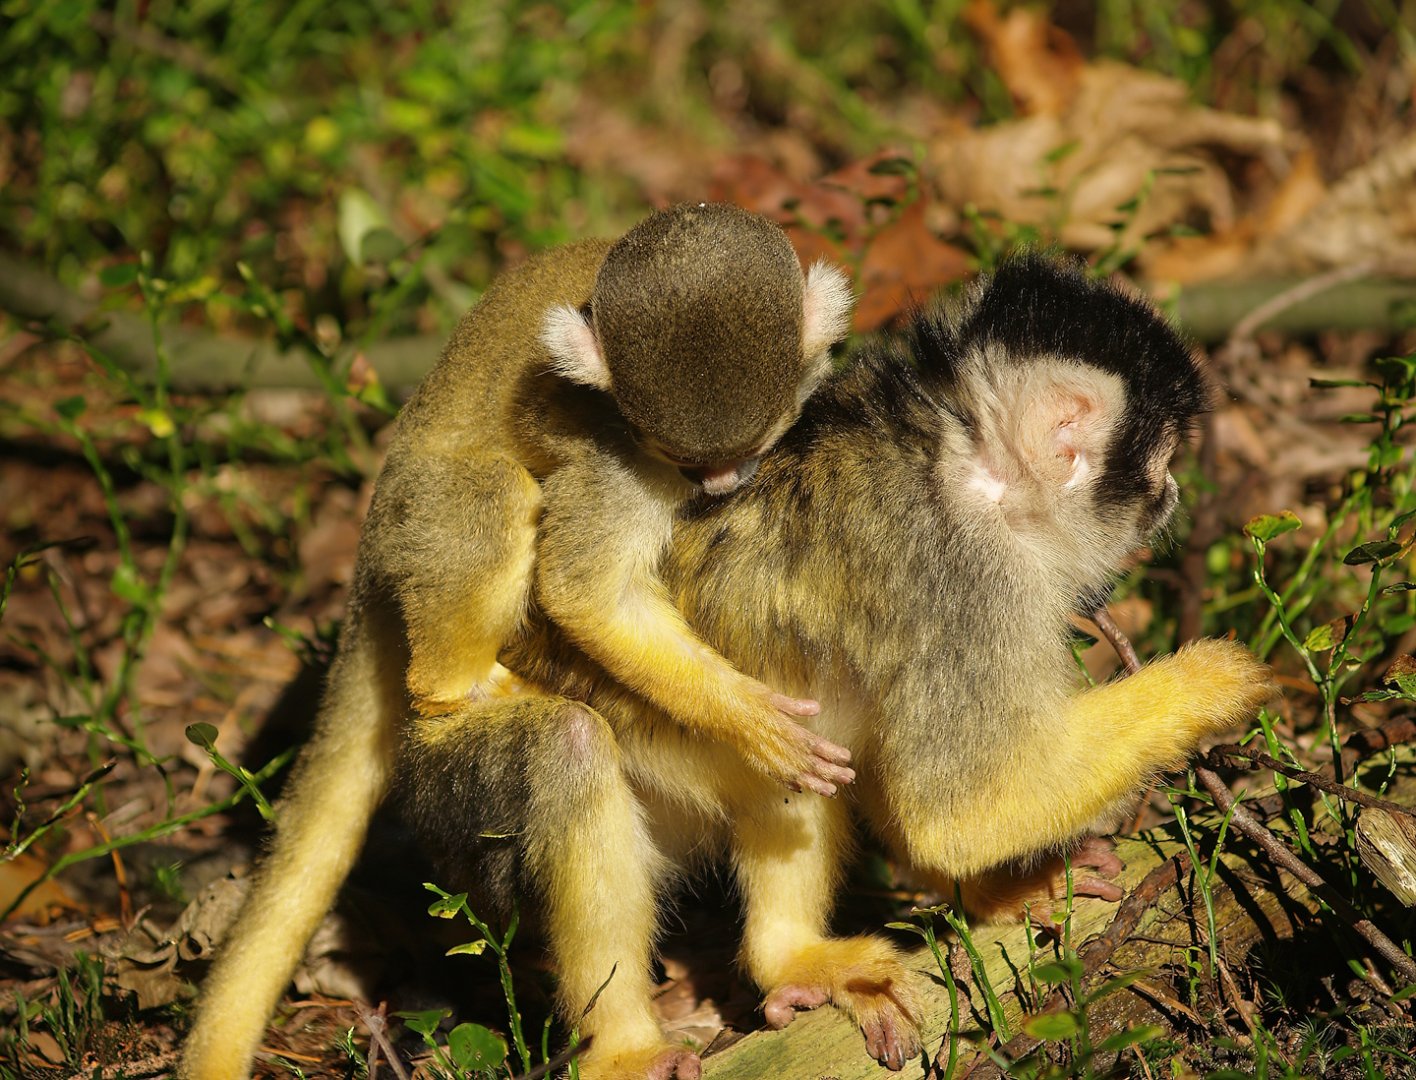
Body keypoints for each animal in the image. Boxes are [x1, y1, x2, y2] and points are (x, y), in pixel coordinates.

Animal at [181, 203, 857, 1080]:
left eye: (755, 446)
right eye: (680, 458)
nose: (716, 487)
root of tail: (365, 552)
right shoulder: (615, 450)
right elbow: (585, 593)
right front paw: (749, 719)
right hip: (410, 536)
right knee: (496, 503)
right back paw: (462, 690)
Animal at [389, 254, 1275, 1077]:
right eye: (1160, 460)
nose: (1169, 494)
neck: (967, 461)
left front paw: (998, 893)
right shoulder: (967, 574)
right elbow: (962, 809)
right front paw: (1213, 682)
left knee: (809, 721)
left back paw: (789, 958)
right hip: (455, 790)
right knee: (567, 748)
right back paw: (625, 1044)